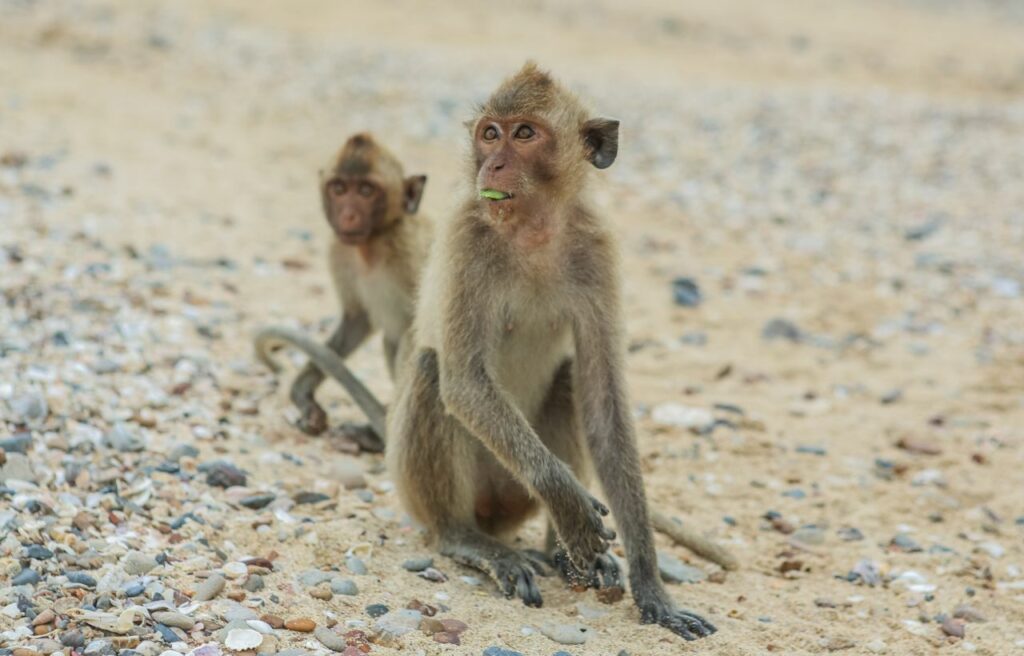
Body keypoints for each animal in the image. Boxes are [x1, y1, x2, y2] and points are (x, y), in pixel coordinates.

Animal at [255, 133, 431, 450]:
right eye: (339, 189)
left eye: (366, 190)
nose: (348, 216)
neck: (373, 246)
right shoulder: (340, 251)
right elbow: (356, 320)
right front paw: (304, 397)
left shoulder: (411, 250)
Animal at [383, 63, 718, 641]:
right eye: (489, 133)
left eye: (524, 134)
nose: (492, 163)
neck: (533, 230)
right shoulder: (468, 236)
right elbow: (464, 382)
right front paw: (566, 502)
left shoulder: (598, 248)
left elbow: (604, 404)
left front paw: (650, 585)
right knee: (431, 369)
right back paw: (468, 539)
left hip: (514, 498)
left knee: (568, 379)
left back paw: (561, 556)